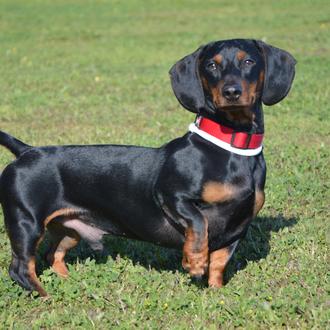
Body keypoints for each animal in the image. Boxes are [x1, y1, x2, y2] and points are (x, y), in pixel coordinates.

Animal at [0, 39, 296, 296]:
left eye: (248, 61)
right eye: (212, 65)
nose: (231, 92)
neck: (232, 147)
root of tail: (27, 150)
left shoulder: (237, 227)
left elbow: (220, 263)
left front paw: (215, 292)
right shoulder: (172, 196)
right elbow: (199, 224)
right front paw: (194, 262)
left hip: (69, 228)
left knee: (53, 254)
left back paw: (68, 283)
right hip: (26, 223)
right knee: (21, 268)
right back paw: (45, 295)